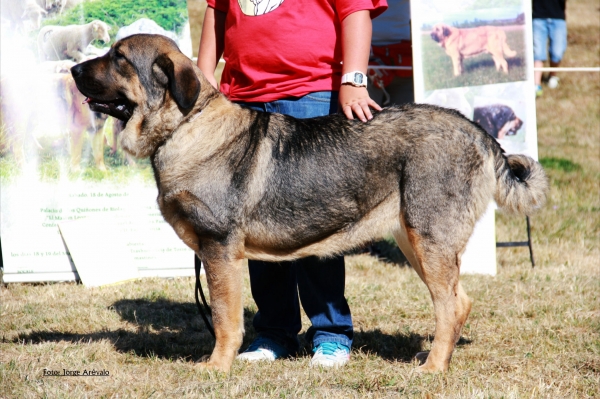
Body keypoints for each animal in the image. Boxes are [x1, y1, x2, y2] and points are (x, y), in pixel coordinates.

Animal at [70, 34, 548, 376]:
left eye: (119, 57)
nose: (72, 67)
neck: (184, 127)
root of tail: (481, 134)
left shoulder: (219, 250)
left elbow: (224, 318)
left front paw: (216, 368)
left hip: (428, 238)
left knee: (449, 306)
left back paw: (432, 368)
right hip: (415, 241)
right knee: (460, 300)